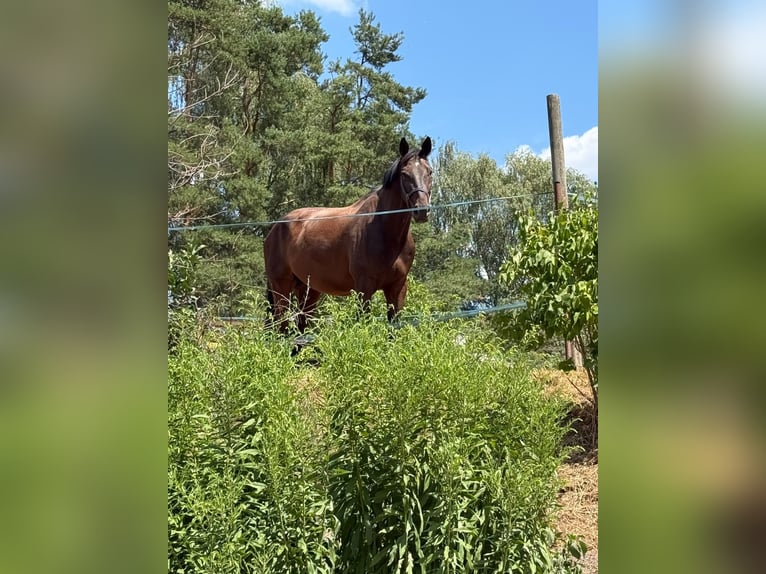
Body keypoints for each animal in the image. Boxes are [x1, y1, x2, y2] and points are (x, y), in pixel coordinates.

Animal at [264, 136, 433, 333]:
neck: (384, 230)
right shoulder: (364, 287)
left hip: (308, 290)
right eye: (405, 174)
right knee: (280, 327)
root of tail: (275, 228)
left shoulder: (397, 287)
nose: (422, 210)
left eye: (429, 172)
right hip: (281, 288)